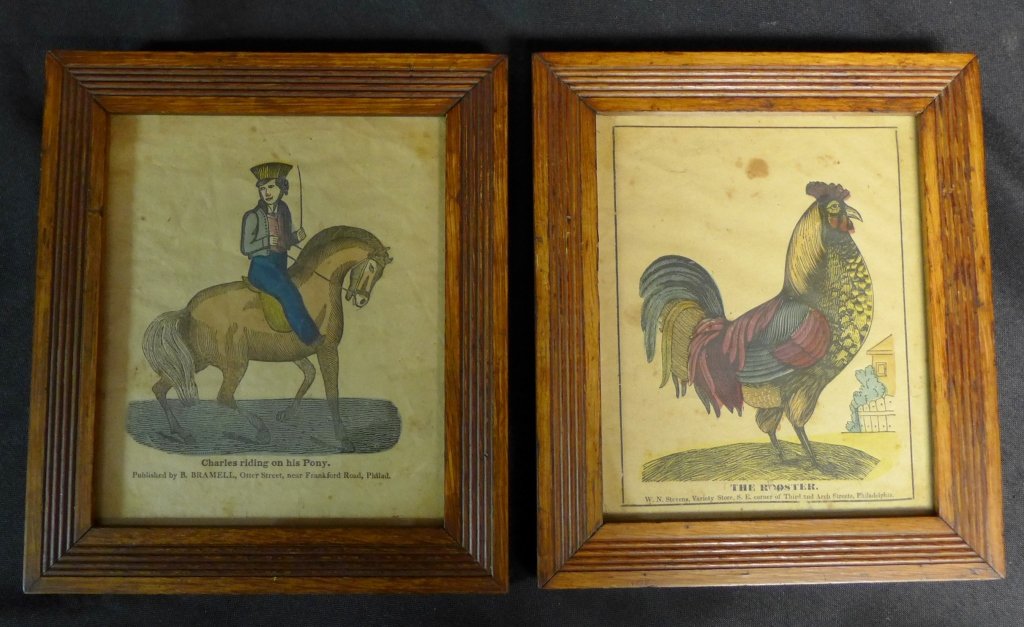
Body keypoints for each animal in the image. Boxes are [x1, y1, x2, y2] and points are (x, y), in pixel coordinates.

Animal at [142, 225, 393, 448]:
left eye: (381, 273)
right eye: (372, 268)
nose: (361, 300)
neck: (317, 288)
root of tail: (187, 310)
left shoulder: (296, 351)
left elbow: (309, 374)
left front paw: (288, 414)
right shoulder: (327, 349)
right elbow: (332, 391)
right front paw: (343, 438)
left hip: (196, 360)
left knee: (161, 388)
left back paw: (182, 433)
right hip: (234, 363)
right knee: (223, 397)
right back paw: (261, 431)